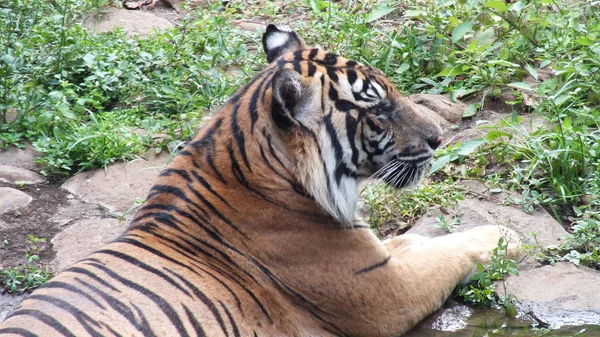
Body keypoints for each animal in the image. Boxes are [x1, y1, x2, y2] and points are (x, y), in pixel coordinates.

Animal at [0, 24, 520, 336]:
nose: (438, 137)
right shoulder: (386, 293)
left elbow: (416, 242)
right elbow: (451, 251)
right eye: (377, 108)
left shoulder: (376, 257)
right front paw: (506, 234)